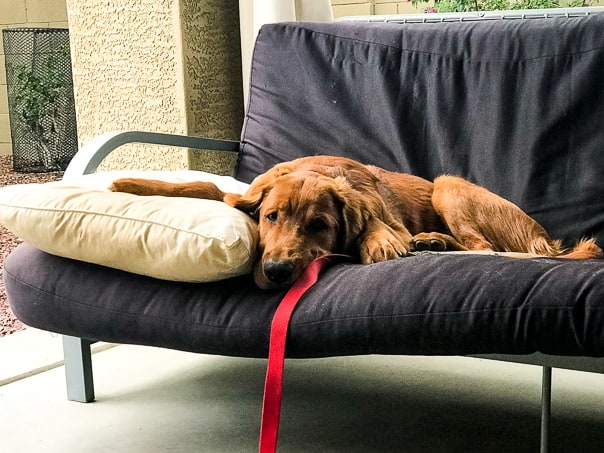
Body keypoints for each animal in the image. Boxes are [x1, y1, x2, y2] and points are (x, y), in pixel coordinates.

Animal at [111, 155, 600, 288]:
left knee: (484, 247)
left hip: (447, 186)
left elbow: (378, 224)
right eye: (270, 217)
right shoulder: (244, 194)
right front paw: (130, 184)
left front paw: (380, 242)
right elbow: (210, 189)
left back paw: (431, 240)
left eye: (320, 225)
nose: (277, 271)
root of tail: (544, 238)